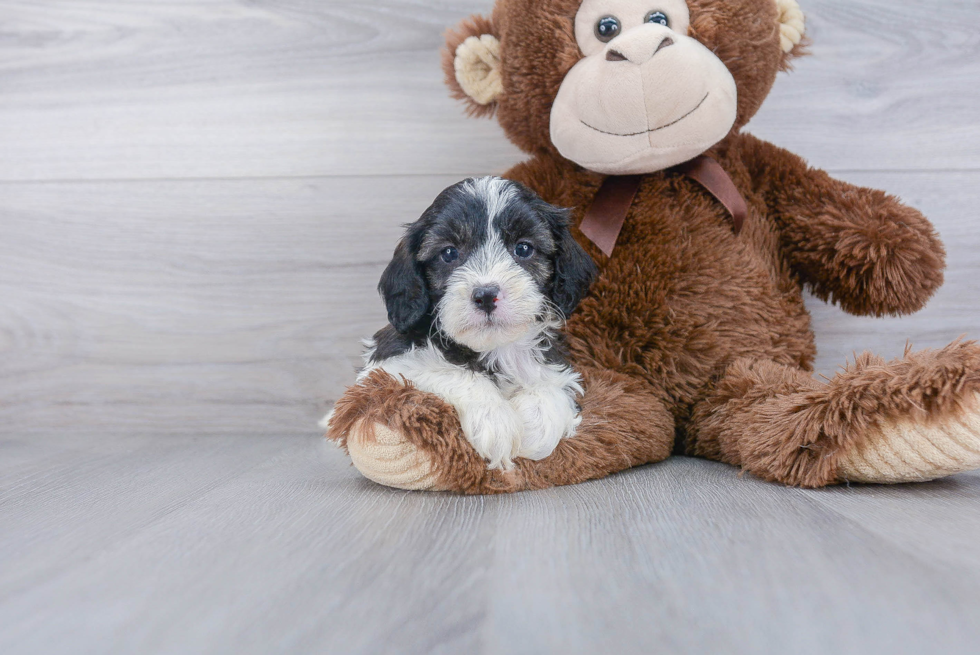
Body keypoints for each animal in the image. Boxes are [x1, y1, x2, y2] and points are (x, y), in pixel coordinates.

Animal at [354, 177, 592, 468]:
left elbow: (551, 386)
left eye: (523, 248)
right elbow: (445, 370)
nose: (486, 295)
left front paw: (533, 428)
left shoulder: (558, 365)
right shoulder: (385, 366)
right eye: (449, 253)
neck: (494, 348)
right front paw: (495, 420)